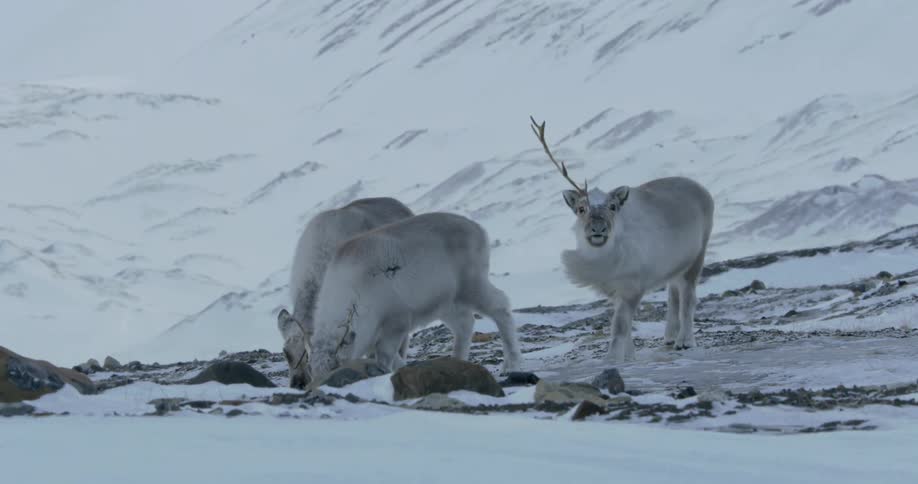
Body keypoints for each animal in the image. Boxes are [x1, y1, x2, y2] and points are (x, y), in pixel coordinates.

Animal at [305, 212, 523, 383]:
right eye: (313, 372)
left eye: (336, 365)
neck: (354, 294)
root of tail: (479, 229)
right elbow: (393, 358)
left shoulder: (396, 322)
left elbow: (385, 355)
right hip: (447, 304)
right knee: (465, 323)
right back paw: (458, 360)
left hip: (471, 287)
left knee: (500, 307)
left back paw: (512, 364)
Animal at [529, 116, 714, 363]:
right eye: (580, 209)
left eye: (613, 206)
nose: (598, 229)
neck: (602, 260)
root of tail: (702, 189)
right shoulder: (613, 291)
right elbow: (624, 327)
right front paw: (629, 354)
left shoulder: (632, 287)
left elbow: (619, 326)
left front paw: (613, 358)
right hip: (674, 266)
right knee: (673, 294)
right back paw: (669, 336)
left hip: (697, 257)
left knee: (688, 298)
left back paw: (685, 341)